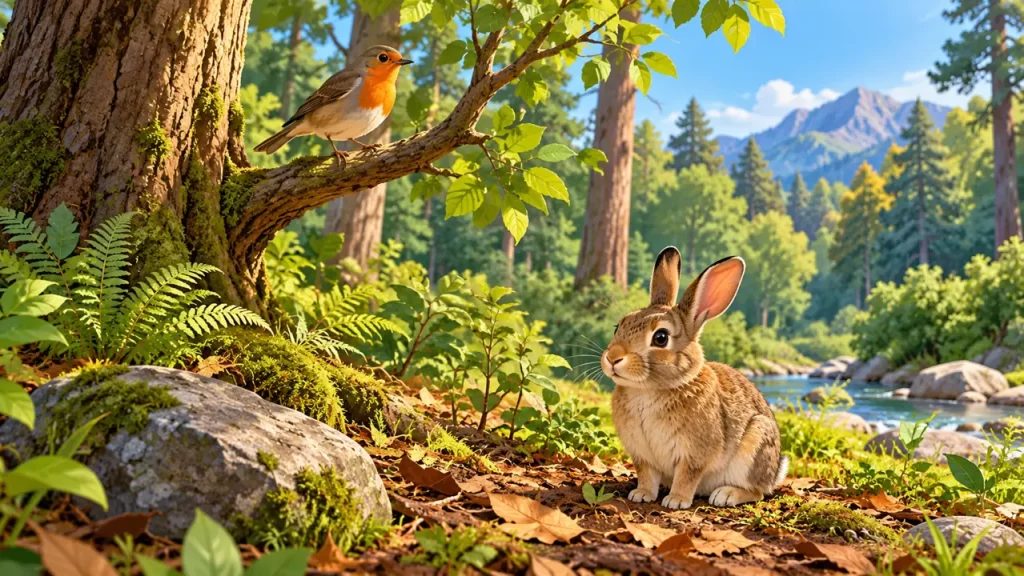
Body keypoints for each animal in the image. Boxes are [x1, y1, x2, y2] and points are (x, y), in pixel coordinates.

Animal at [601, 246, 788, 510]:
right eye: (619, 326)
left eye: (660, 338)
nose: (612, 358)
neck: (648, 390)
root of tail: (774, 475)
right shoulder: (642, 455)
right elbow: (647, 475)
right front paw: (641, 494)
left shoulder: (694, 454)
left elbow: (687, 475)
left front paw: (677, 501)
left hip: (755, 447)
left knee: (758, 492)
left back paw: (726, 495)